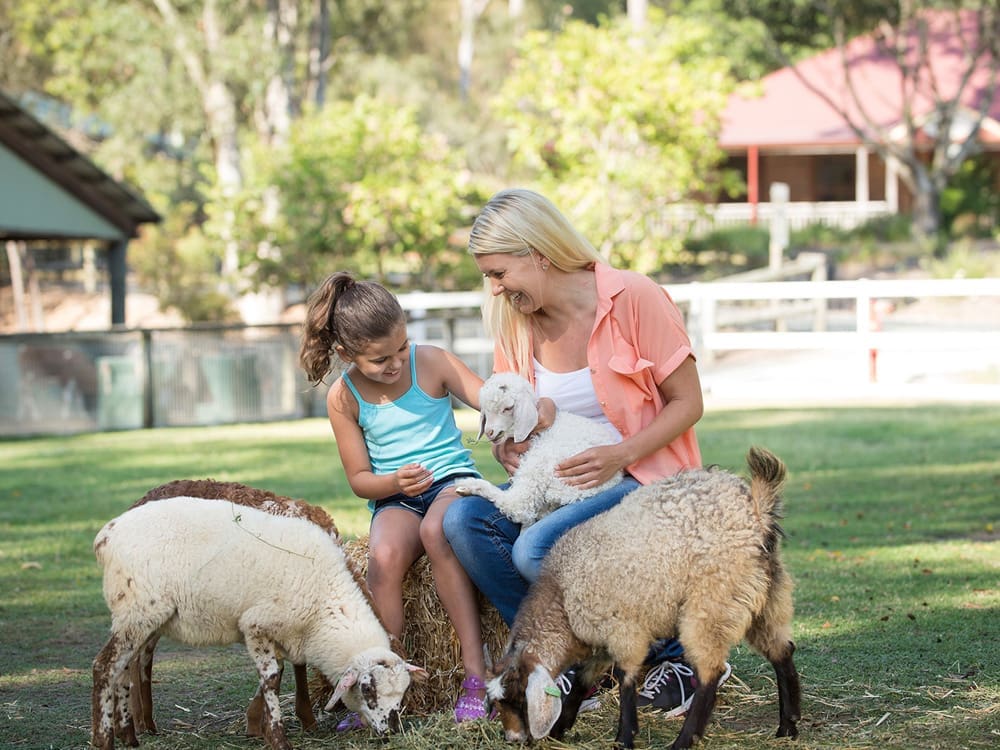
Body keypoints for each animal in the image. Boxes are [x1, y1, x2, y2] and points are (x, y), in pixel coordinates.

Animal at [488, 450, 800, 748]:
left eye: (517, 699)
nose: (512, 739)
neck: (562, 591)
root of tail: (756, 510)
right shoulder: (602, 641)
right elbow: (582, 680)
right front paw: (560, 728)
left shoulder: (624, 629)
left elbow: (626, 679)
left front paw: (624, 737)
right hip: (764, 597)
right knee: (782, 651)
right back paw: (788, 726)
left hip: (712, 602)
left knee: (710, 671)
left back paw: (684, 741)